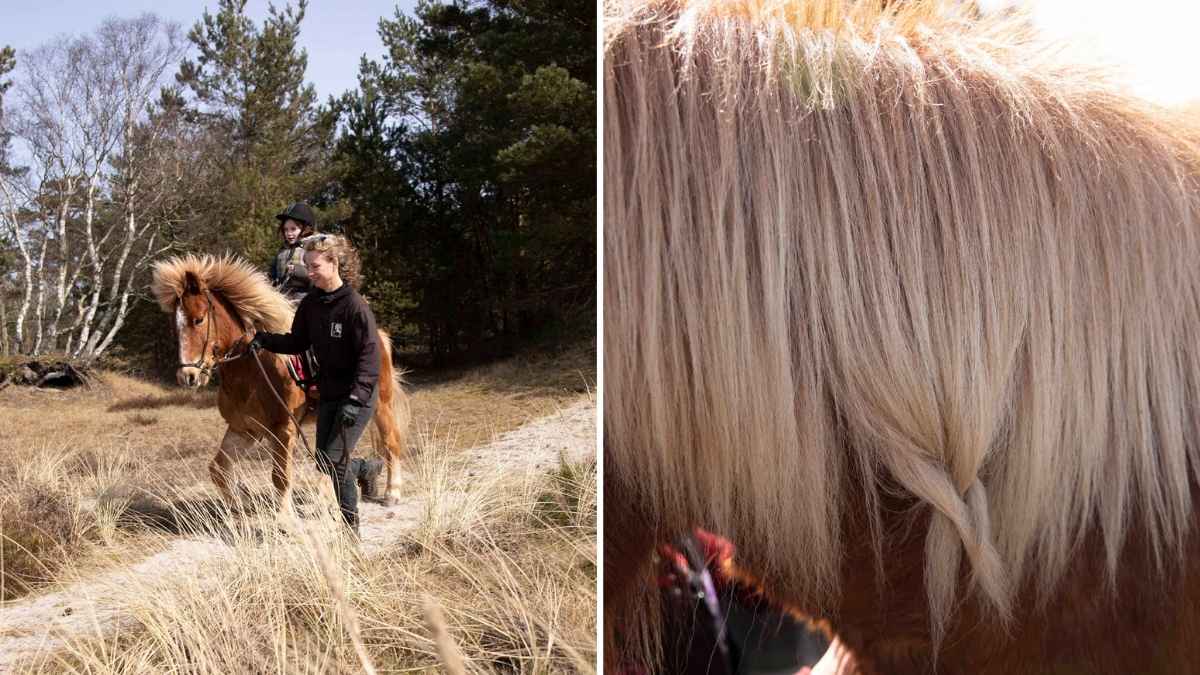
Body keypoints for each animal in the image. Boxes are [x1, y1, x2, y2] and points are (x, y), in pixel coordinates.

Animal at [150, 254, 410, 511]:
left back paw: (392, 492)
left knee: (390, 443)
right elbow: (218, 468)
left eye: (199, 320)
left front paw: (285, 517)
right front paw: (242, 500)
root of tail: (379, 336)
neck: (252, 370)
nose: (188, 376)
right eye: (175, 325)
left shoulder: (283, 430)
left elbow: (280, 477)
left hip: (380, 407)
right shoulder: (244, 429)